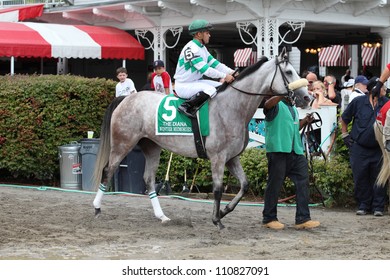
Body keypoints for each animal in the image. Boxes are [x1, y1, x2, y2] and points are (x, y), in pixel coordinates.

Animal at [91, 50, 310, 230]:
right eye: (289, 72)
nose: (307, 98)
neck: (232, 106)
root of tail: (127, 98)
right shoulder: (218, 158)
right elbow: (218, 189)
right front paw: (217, 220)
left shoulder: (232, 158)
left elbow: (244, 185)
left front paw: (223, 211)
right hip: (122, 144)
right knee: (108, 170)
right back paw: (97, 208)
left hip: (152, 147)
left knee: (149, 180)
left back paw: (162, 216)